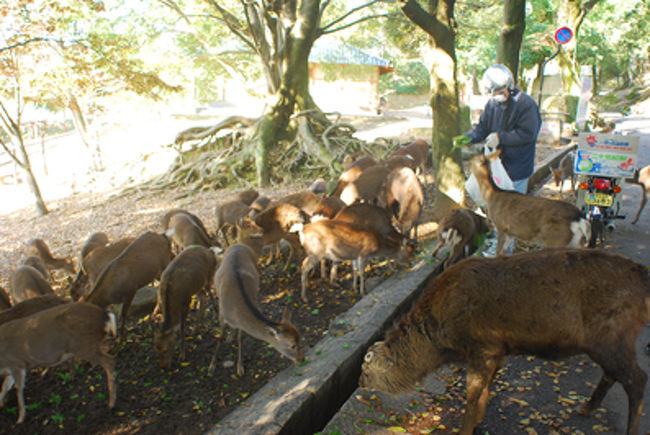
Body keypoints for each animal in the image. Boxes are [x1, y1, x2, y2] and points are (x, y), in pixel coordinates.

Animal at [208, 242, 304, 376]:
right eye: (292, 345)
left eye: (301, 338)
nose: (302, 359)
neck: (235, 311)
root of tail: (238, 243)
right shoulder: (222, 313)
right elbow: (220, 337)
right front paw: (212, 365)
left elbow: (241, 338)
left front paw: (240, 367)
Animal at [360, 248, 650, 435]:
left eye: (364, 370)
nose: (360, 387)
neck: (440, 343)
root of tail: (643, 278)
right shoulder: (498, 350)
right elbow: (484, 390)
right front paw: (478, 421)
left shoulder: (481, 347)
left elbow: (472, 393)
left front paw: (464, 429)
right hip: (608, 342)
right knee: (613, 374)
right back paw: (586, 407)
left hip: (612, 335)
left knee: (637, 378)